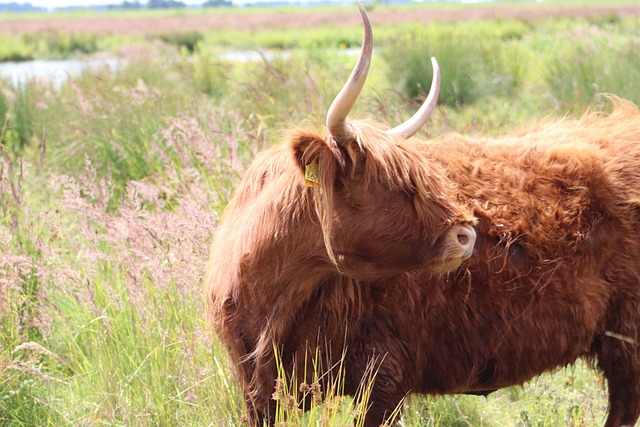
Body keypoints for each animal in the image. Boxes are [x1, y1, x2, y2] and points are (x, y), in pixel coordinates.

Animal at [205, 3, 640, 426]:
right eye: (391, 185)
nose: (467, 234)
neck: (277, 293)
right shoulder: (257, 390)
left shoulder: (384, 378)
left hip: (627, 340)